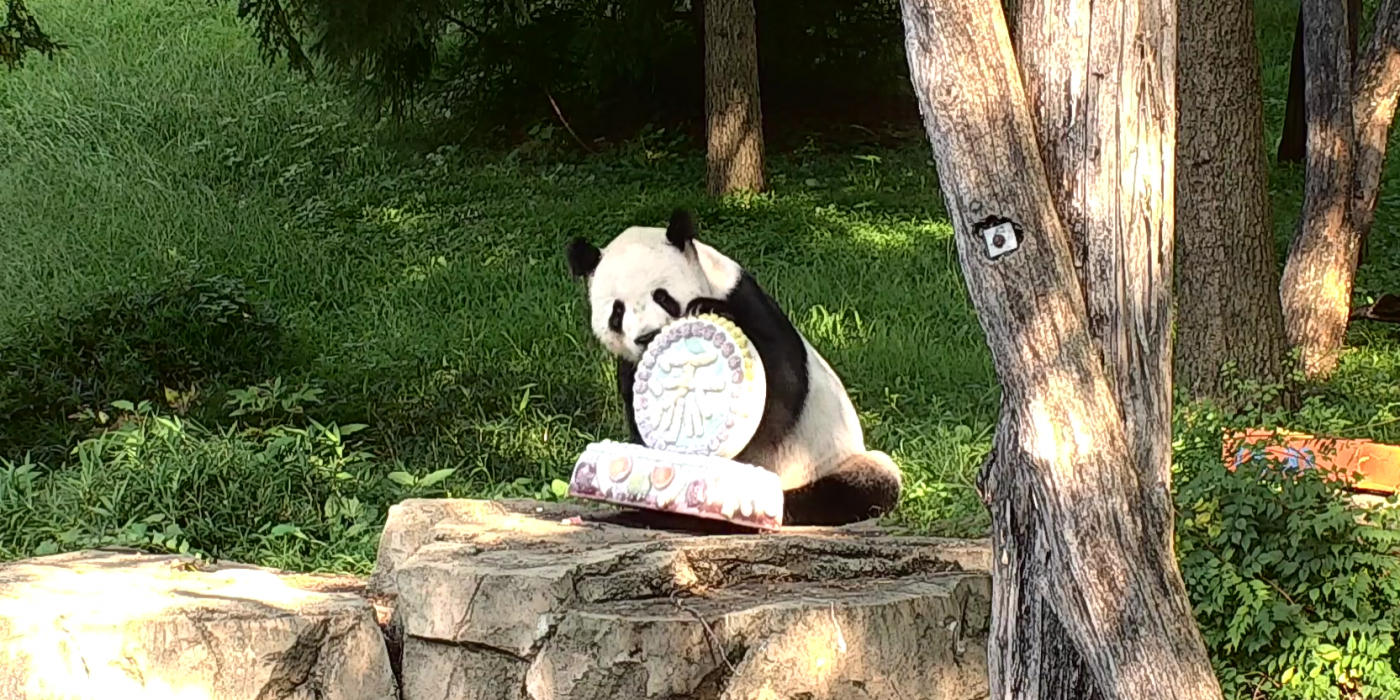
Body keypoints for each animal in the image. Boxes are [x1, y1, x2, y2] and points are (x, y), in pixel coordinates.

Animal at [568, 207, 907, 526]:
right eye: (617, 311)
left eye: (662, 296)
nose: (646, 335)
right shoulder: (629, 365)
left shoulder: (745, 297)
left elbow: (783, 386)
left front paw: (707, 309)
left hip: (832, 458)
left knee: (865, 486)